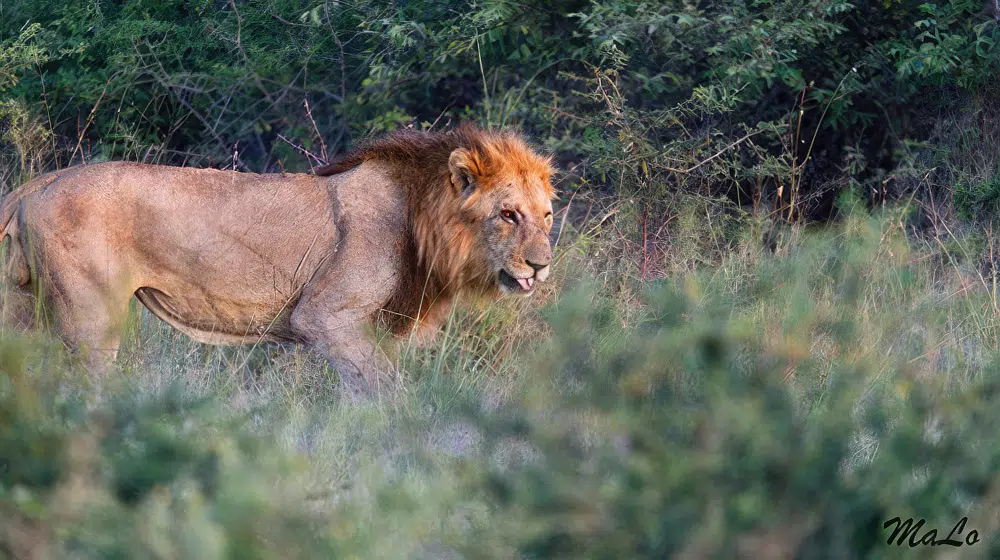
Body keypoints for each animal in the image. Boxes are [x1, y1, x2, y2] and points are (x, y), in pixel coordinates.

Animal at [0, 124, 556, 399]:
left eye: (547, 216)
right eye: (508, 214)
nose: (541, 265)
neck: (422, 218)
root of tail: (39, 183)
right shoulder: (325, 316)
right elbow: (385, 390)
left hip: (21, 312)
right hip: (91, 321)